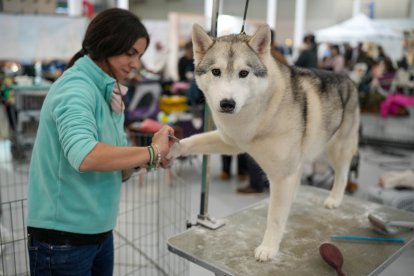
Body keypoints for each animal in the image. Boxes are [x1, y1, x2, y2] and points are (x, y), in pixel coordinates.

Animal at [167, 23, 360, 260]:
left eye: (243, 73)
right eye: (216, 72)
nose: (227, 104)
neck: (260, 112)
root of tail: (349, 80)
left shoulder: (281, 176)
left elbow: (275, 217)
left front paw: (268, 248)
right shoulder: (231, 142)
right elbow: (195, 139)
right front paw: (174, 147)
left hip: (336, 151)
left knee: (342, 175)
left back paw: (334, 199)